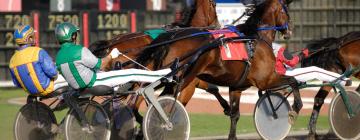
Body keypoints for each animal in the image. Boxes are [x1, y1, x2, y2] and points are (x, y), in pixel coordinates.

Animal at [136, 0, 296, 139]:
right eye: (286, 11)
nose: (289, 30)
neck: (256, 37)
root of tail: (171, 36)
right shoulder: (265, 80)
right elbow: (293, 81)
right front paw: (292, 109)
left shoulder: (236, 87)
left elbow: (235, 114)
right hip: (181, 79)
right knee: (161, 100)